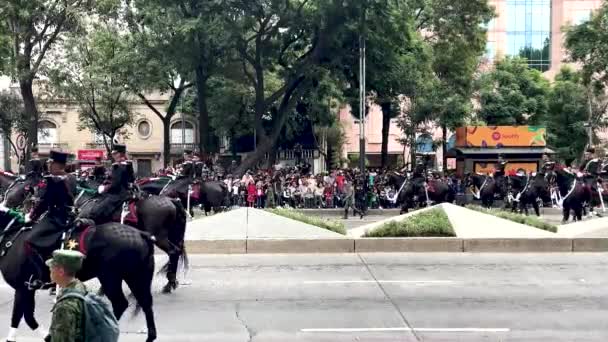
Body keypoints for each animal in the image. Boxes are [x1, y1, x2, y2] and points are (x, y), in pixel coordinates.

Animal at [0, 212, 159, 340]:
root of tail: (140, 234)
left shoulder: (22, 288)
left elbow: (22, 316)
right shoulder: (26, 289)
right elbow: (26, 316)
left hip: (110, 277)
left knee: (120, 303)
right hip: (137, 277)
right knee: (146, 303)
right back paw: (150, 336)